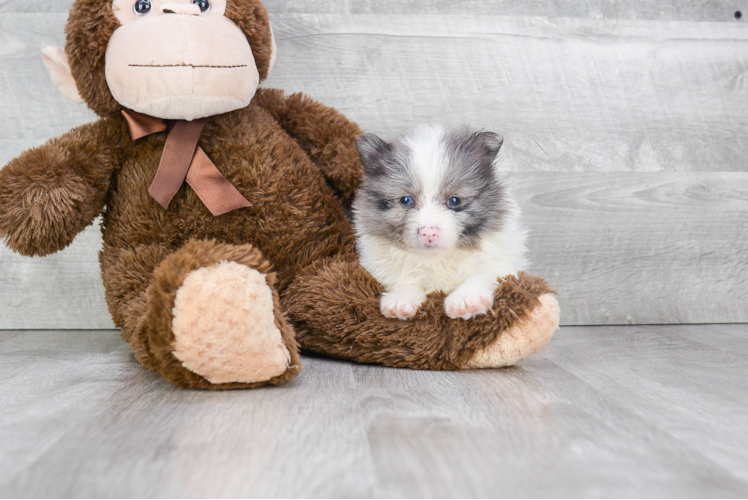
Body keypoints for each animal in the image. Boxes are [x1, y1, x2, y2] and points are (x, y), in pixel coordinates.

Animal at [354, 125, 528, 320]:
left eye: (454, 201)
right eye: (406, 200)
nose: (428, 232)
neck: (437, 258)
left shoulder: (501, 264)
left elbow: (481, 275)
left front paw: (466, 299)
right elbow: (405, 279)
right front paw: (401, 299)